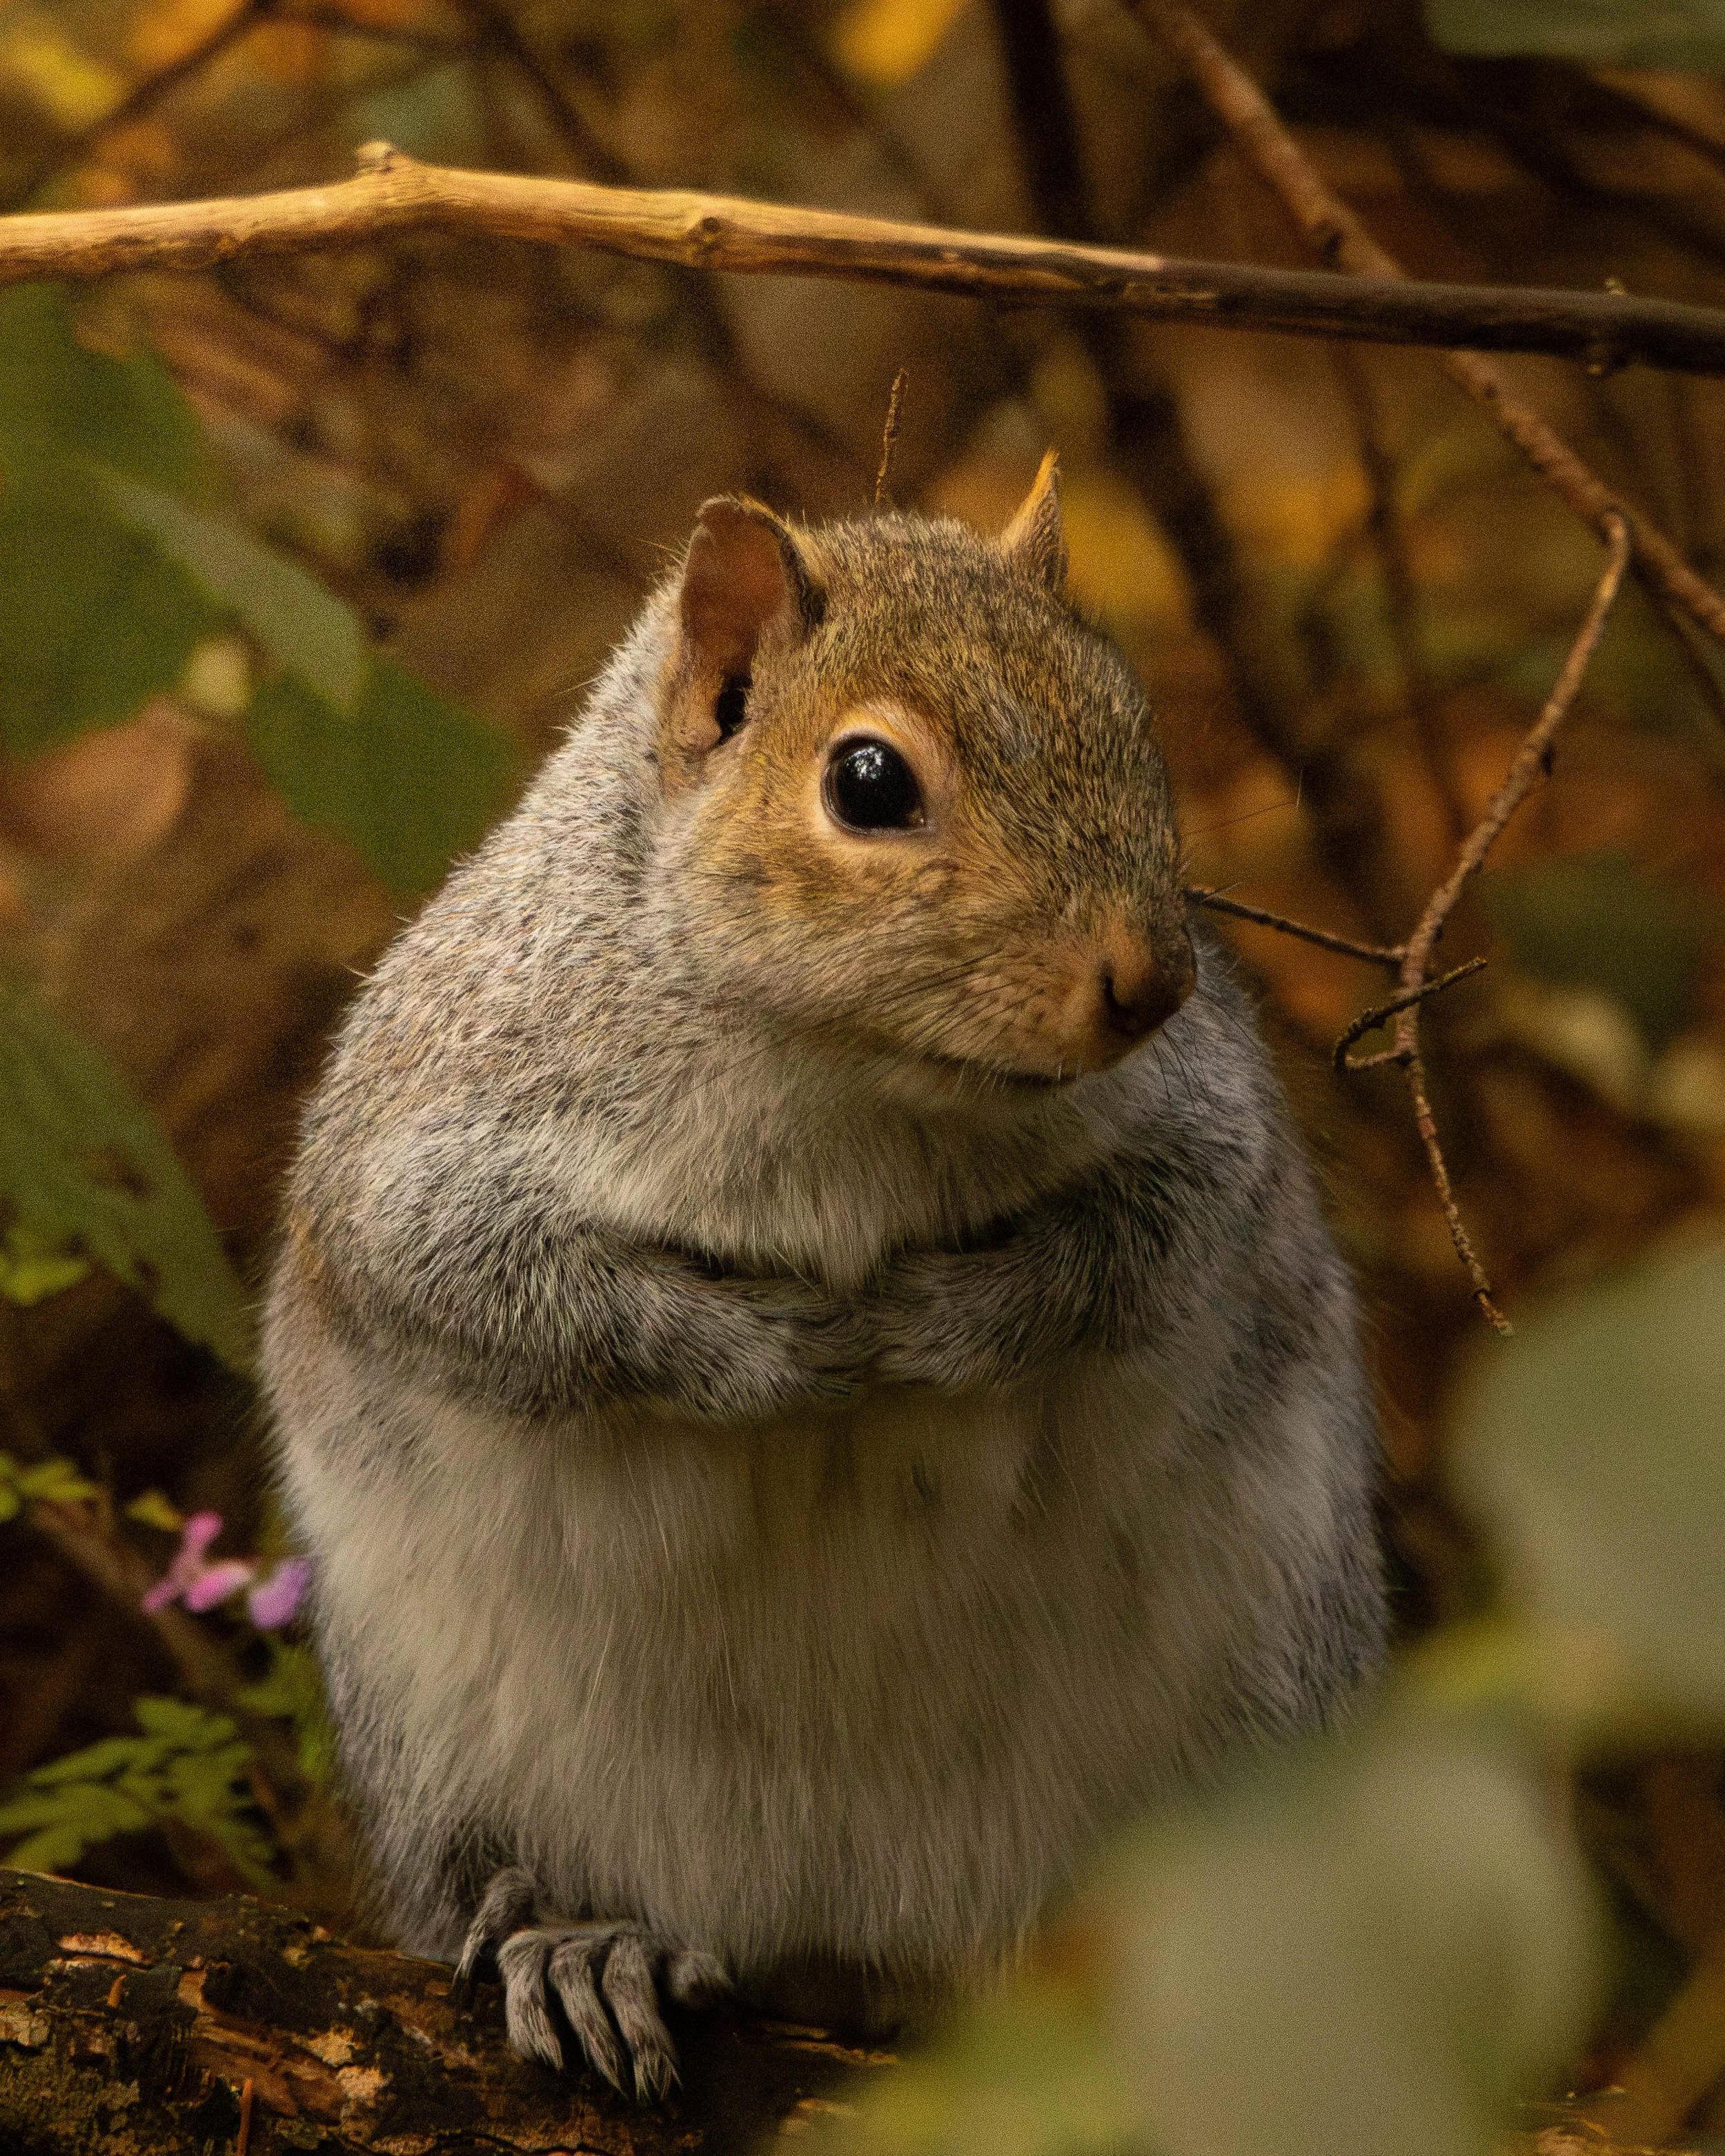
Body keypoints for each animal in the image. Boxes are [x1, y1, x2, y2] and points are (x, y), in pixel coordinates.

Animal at [262, 452, 1386, 2100]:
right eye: (867, 782)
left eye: (1130, 719)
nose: (1153, 979)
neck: (851, 1076)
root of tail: (853, 1949)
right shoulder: (417, 1149)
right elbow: (490, 1295)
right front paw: (771, 1353)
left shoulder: (1205, 1126)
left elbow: (1138, 1247)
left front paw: (934, 1321)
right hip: (439, 1736)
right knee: (493, 1868)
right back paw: (577, 1939)